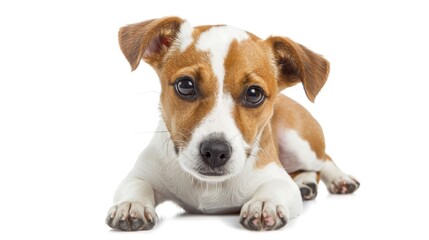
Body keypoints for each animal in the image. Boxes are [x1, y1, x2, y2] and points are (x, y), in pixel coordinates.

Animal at [106, 16, 358, 231]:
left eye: (254, 93)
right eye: (185, 85)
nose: (215, 151)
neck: (208, 185)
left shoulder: (278, 178)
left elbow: (275, 187)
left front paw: (264, 203)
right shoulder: (141, 174)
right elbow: (136, 185)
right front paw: (131, 205)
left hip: (298, 143)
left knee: (323, 160)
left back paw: (338, 179)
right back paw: (306, 184)